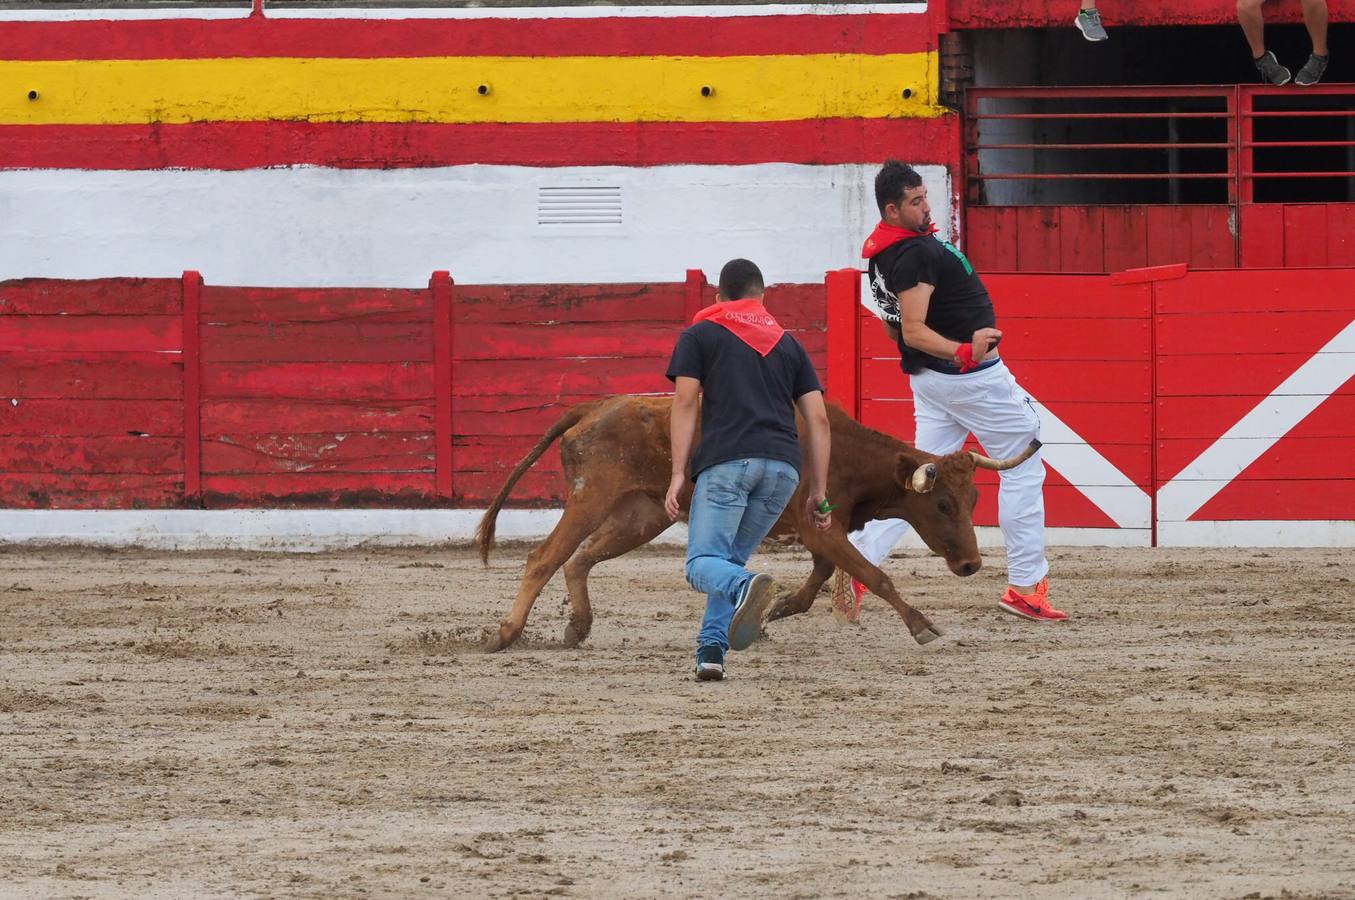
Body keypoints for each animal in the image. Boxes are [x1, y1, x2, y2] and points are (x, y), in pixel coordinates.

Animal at [476, 398, 1035, 650]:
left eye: (973, 497)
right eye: (942, 505)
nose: (971, 564)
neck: (847, 452)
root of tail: (591, 409)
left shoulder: (822, 530)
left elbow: (821, 576)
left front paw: (776, 609)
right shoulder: (820, 527)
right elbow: (875, 575)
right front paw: (922, 626)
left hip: (642, 514)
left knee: (581, 559)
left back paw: (578, 626)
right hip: (590, 497)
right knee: (544, 558)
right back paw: (505, 634)